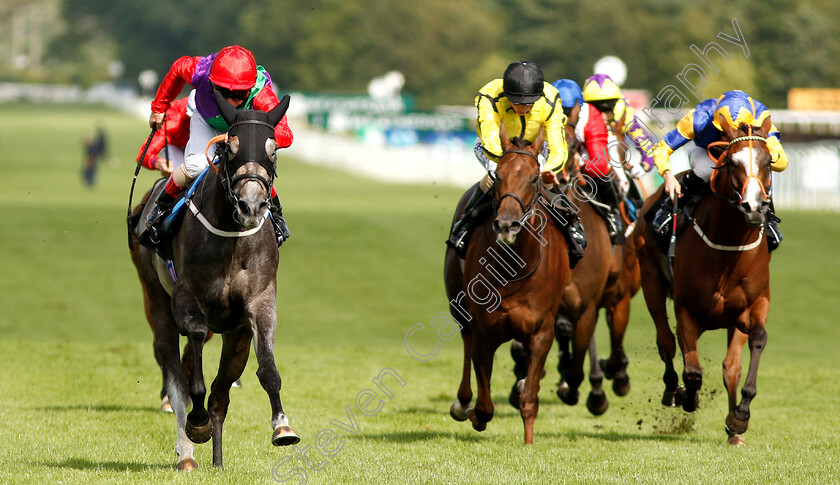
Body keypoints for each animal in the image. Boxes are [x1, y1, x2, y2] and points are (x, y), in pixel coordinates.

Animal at [440, 129, 572, 442]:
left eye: (534, 178)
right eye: (498, 175)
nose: (507, 224)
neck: (516, 266)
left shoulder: (541, 330)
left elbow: (529, 398)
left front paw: (528, 442)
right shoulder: (484, 330)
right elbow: (485, 404)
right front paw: (475, 413)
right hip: (458, 303)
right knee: (464, 340)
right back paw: (462, 403)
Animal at [636, 115, 776, 444]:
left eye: (768, 161)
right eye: (732, 162)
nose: (755, 207)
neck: (728, 248)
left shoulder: (752, 306)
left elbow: (746, 353)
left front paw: (738, 418)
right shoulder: (686, 311)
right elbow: (693, 372)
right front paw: (689, 397)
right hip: (650, 281)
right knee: (666, 341)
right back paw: (672, 390)